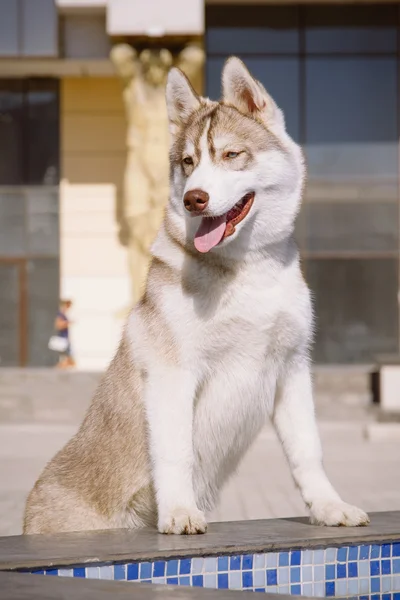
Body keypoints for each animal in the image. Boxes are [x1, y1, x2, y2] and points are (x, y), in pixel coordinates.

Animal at [24, 57, 368, 536]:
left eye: (230, 155)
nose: (194, 199)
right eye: (188, 162)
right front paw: (179, 511)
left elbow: (308, 450)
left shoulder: (292, 369)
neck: (246, 271)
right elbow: (176, 452)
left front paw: (329, 507)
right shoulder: (174, 373)